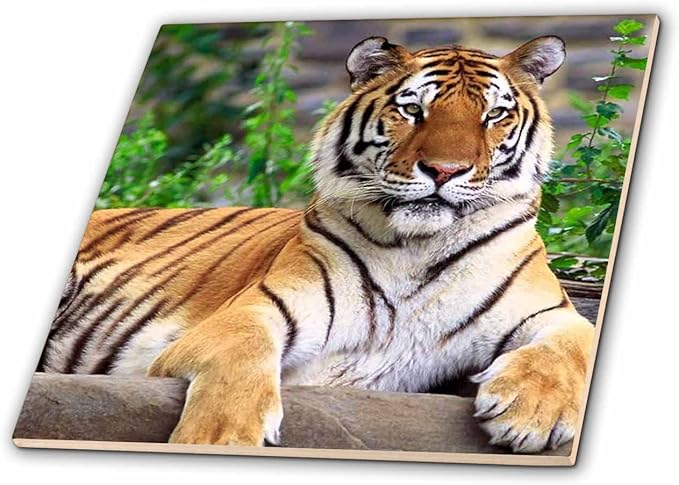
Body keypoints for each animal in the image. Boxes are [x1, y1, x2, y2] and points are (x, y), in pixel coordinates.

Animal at [39, 34, 594, 454]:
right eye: (413, 110)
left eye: (493, 115)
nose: (444, 170)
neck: (419, 247)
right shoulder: (256, 310)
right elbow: (243, 355)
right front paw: (221, 439)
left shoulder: (549, 312)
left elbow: (575, 343)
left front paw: (531, 414)